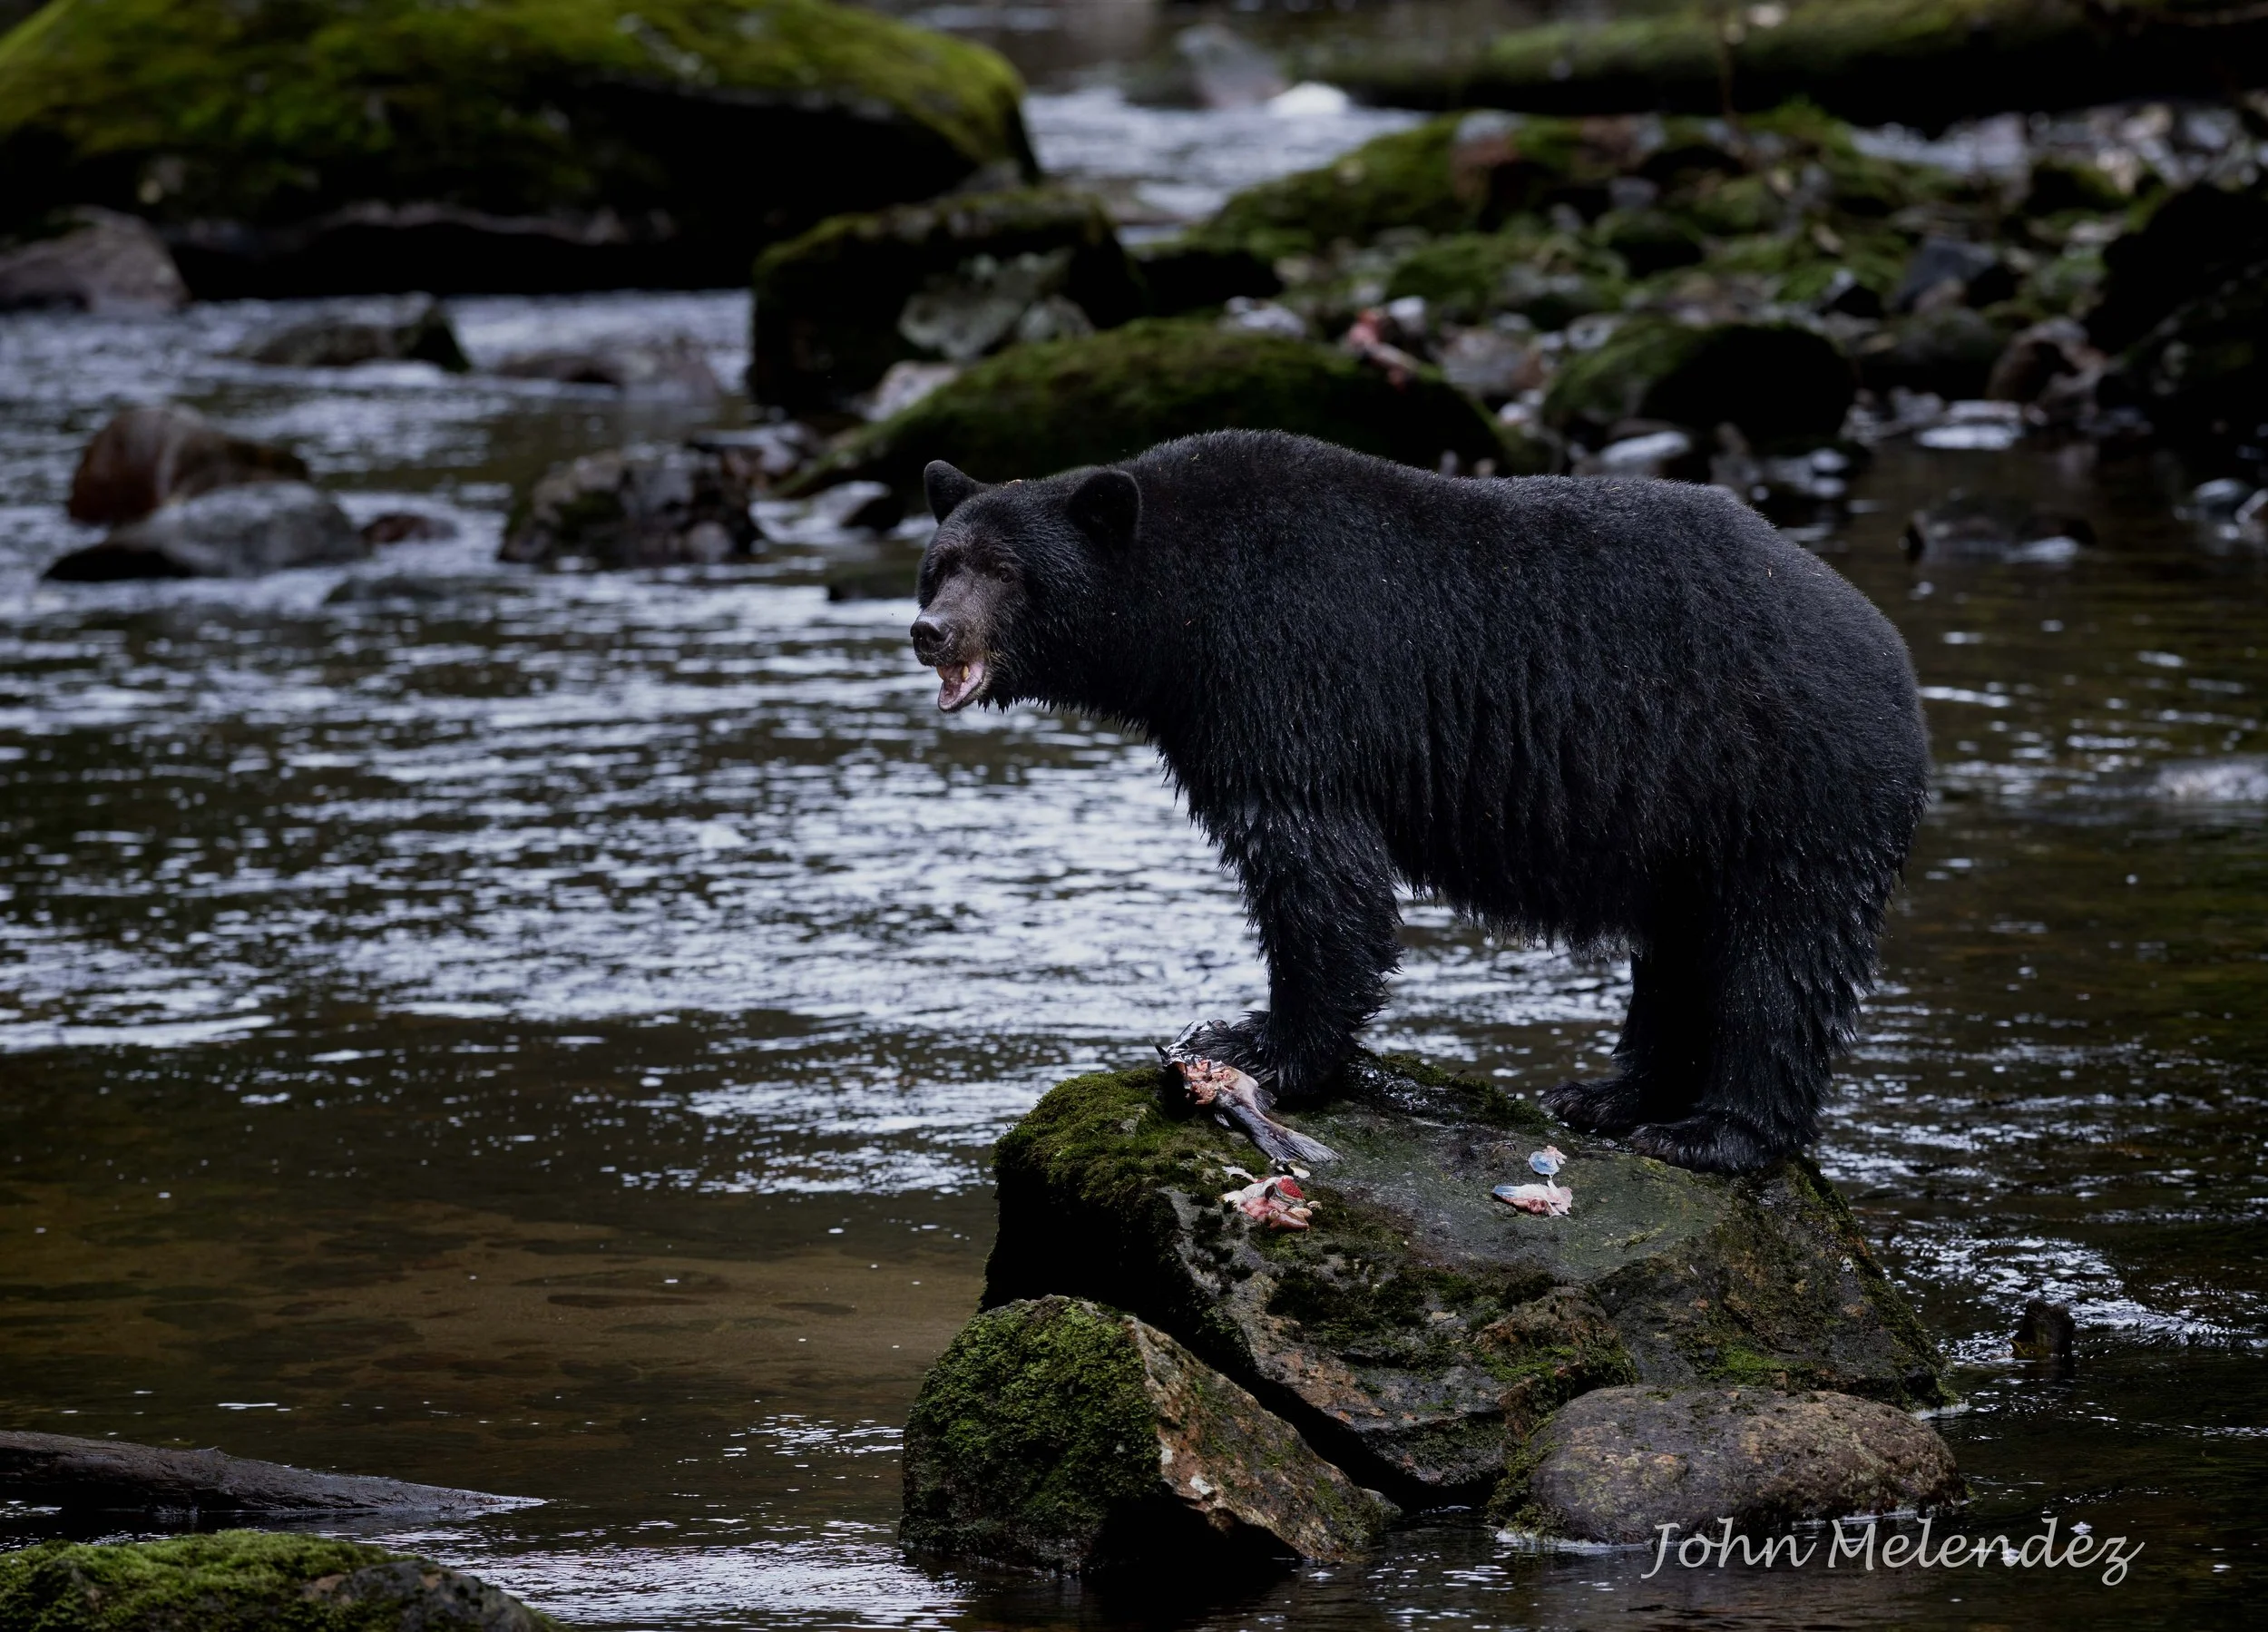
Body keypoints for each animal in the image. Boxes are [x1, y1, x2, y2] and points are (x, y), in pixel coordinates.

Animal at [909, 430, 1929, 1174]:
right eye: (940, 561)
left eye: (1005, 569)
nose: (930, 630)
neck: (1181, 610)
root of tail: (1893, 659)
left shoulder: (1286, 673)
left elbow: (1315, 869)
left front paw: (1263, 1044)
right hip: (1693, 820)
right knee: (1680, 947)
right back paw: (1608, 1095)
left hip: (1786, 781)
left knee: (1775, 955)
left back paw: (1715, 1132)